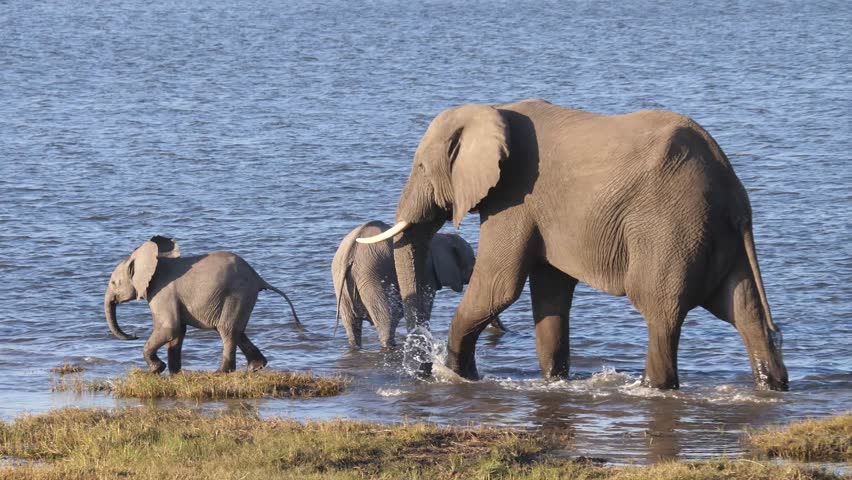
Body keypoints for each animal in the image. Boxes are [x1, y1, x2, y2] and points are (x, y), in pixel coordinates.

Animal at [104, 236, 300, 374]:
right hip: (243, 296)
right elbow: (178, 332)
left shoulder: (162, 293)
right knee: (237, 331)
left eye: (114, 282)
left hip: (237, 293)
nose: (135, 334)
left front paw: (156, 370)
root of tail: (258, 277)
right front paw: (174, 373)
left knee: (226, 329)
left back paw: (220, 372)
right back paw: (255, 367)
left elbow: (170, 327)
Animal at [332, 220, 505, 349]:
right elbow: (423, 306)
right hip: (373, 276)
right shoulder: (426, 272)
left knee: (352, 326)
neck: (440, 236)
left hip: (342, 279)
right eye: (473, 262)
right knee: (387, 321)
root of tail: (350, 252)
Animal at [357, 98, 788, 391]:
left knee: (660, 311)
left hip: (670, 229)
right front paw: (554, 381)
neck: (493, 110)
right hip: (716, 237)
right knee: (743, 310)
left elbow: (499, 285)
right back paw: (773, 385)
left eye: (420, 167)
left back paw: (653, 387)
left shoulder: (515, 197)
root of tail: (732, 190)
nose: (421, 369)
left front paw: (458, 376)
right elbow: (550, 289)